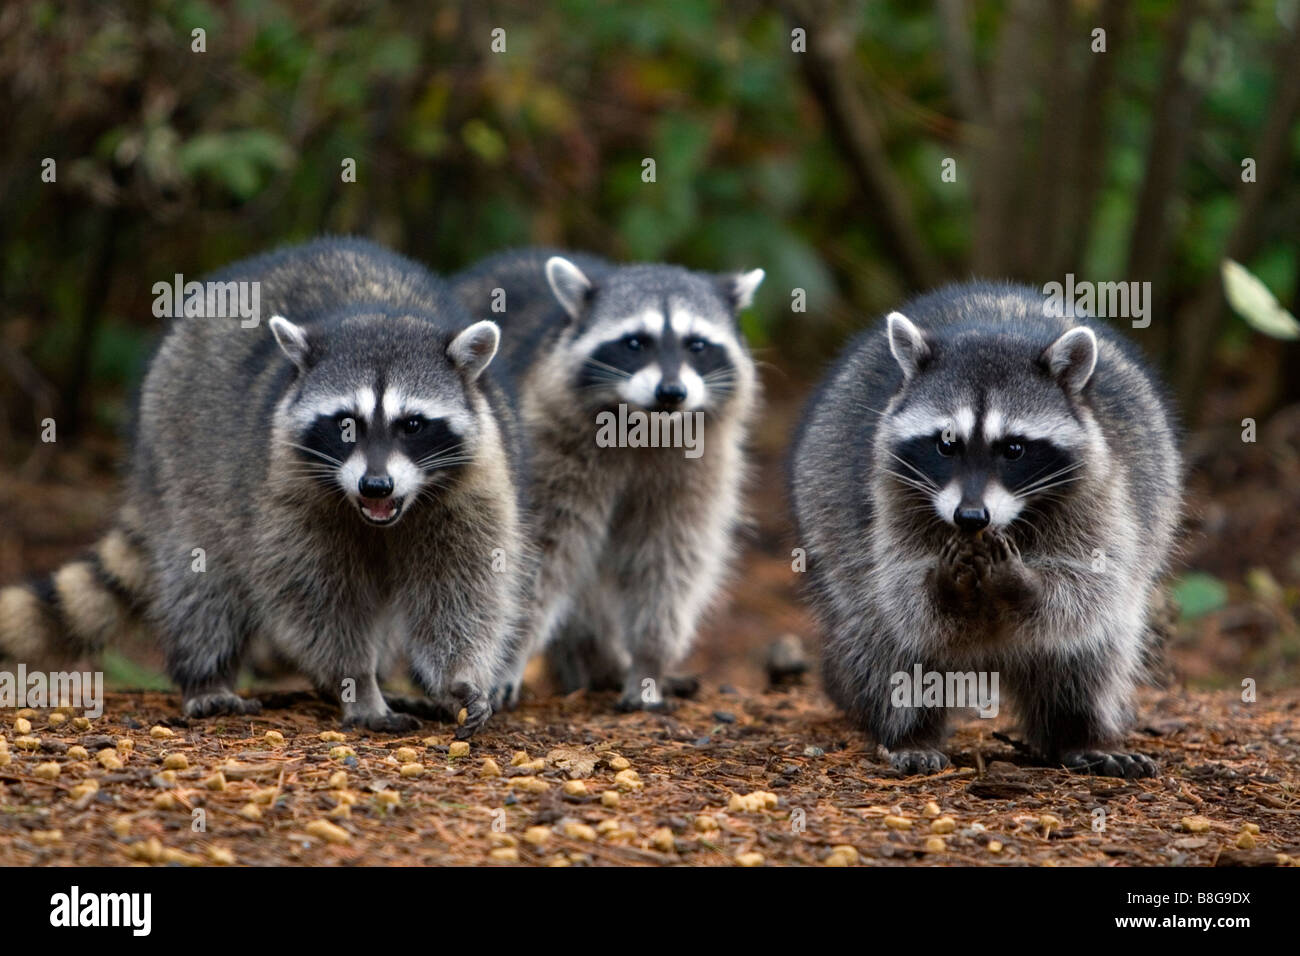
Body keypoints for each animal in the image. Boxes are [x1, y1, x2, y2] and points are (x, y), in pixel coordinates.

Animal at [0, 238, 527, 735]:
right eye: (345, 425)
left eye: (413, 424)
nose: (375, 485)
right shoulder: (282, 486)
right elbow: (315, 597)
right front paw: (357, 683)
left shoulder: (475, 482)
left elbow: (461, 587)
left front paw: (456, 678)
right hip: (179, 447)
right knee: (202, 575)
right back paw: (206, 675)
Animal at [453, 249, 763, 710]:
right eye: (635, 342)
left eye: (697, 345)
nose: (671, 393)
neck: (646, 426)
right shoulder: (548, 445)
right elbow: (535, 555)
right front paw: (510, 654)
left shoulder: (699, 468)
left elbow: (670, 560)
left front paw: (650, 661)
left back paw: (602, 664)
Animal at [790, 282, 1181, 777]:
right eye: (945, 444)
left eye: (1013, 448)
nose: (970, 517)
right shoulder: (889, 490)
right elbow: (900, 593)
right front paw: (939, 584)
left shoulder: (1104, 488)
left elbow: (1091, 582)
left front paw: (1025, 583)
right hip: (828, 511)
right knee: (880, 638)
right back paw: (909, 733)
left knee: (1094, 651)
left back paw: (1081, 732)